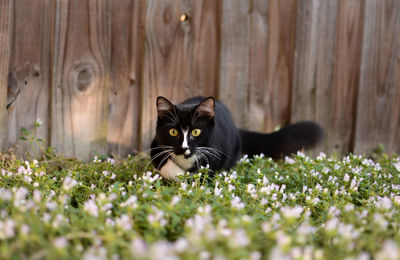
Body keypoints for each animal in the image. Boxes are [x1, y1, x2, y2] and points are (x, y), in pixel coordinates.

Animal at [150, 96, 322, 181]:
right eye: (173, 132)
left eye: (196, 132)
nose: (184, 148)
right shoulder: (156, 143)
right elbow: (164, 162)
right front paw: (179, 176)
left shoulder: (214, 152)